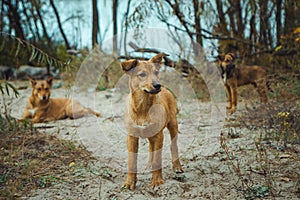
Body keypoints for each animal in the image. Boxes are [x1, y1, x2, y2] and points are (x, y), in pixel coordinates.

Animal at [120, 52, 183, 189]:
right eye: (142, 74)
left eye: (156, 72)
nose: (158, 85)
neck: (143, 107)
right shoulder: (131, 136)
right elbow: (132, 161)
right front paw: (130, 182)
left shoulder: (159, 135)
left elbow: (157, 159)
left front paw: (157, 181)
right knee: (150, 148)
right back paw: (149, 165)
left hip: (173, 124)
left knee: (173, 146)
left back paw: (177, 167)